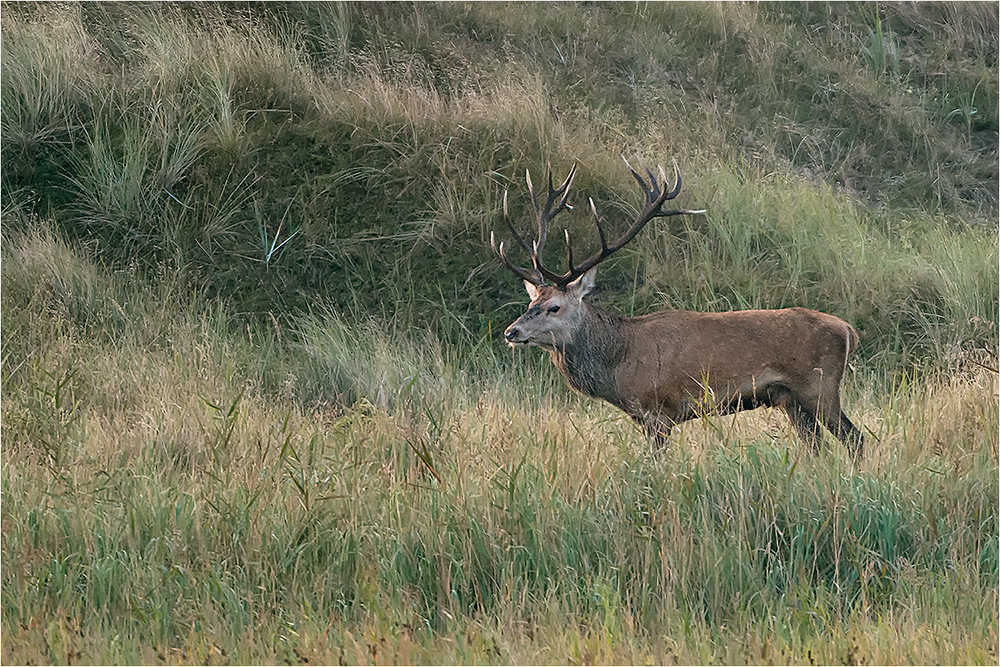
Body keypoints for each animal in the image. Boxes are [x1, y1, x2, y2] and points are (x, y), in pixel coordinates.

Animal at [488, 158, 864, 460]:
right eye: (531, 302)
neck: (619, 364)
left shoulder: (660, 410)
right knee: (818, 448)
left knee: (855, 439)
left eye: (554, 307)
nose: (512, 331)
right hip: (790, 400)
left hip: (820, 387)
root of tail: (848, 330)